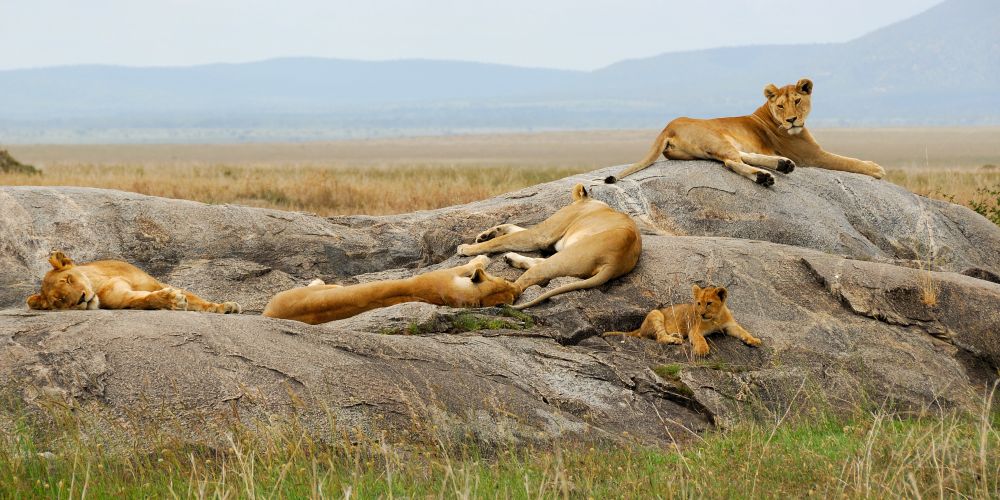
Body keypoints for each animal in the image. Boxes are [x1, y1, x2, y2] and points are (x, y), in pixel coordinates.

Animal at [27, 250, 242, 312]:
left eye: (69, 279)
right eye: (59, 300)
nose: (81, 299)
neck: (98, 284)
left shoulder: (157, 284)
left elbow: (198, 300)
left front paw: (224, 306)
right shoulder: (123, 298)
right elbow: (145, 299)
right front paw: (171, 300)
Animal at [260, 256, 516, 326]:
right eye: (505, 279)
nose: (516, 287)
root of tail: (268, 314)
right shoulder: (442, 275)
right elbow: (469, 264)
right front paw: (482, 258)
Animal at [456, 184, 640, 308]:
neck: (590, 202)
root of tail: (614, 262)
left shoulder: (541, 235)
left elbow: (503, 240)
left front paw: (466, 248)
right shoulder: (548, 239)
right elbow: (511, 228)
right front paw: (487, 234)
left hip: (565, 257)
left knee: (520, 286)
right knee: (539, 264)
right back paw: (510, 258)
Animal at [600, 286, 756, 356]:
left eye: (709, 303)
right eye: (698, 303)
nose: (701, 313)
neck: (715, 318)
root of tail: (640, 327)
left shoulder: (731, 326)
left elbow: (743, 331)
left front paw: (754, 340)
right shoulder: (694, 330)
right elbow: (700, 339)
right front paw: (702, 350)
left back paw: (676, 336)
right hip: (656, 313)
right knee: (660, 338)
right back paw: (674, 340)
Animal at [604, 77, 888, 187]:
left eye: (797, 100)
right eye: (781, 105)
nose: (792, 120)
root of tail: (667, 127)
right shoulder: (812, 156)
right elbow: (846, 161)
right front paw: (875, 168)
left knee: (741, 157)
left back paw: (782, 165)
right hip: (717, 139)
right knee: (732, 162)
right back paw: (765, 176)